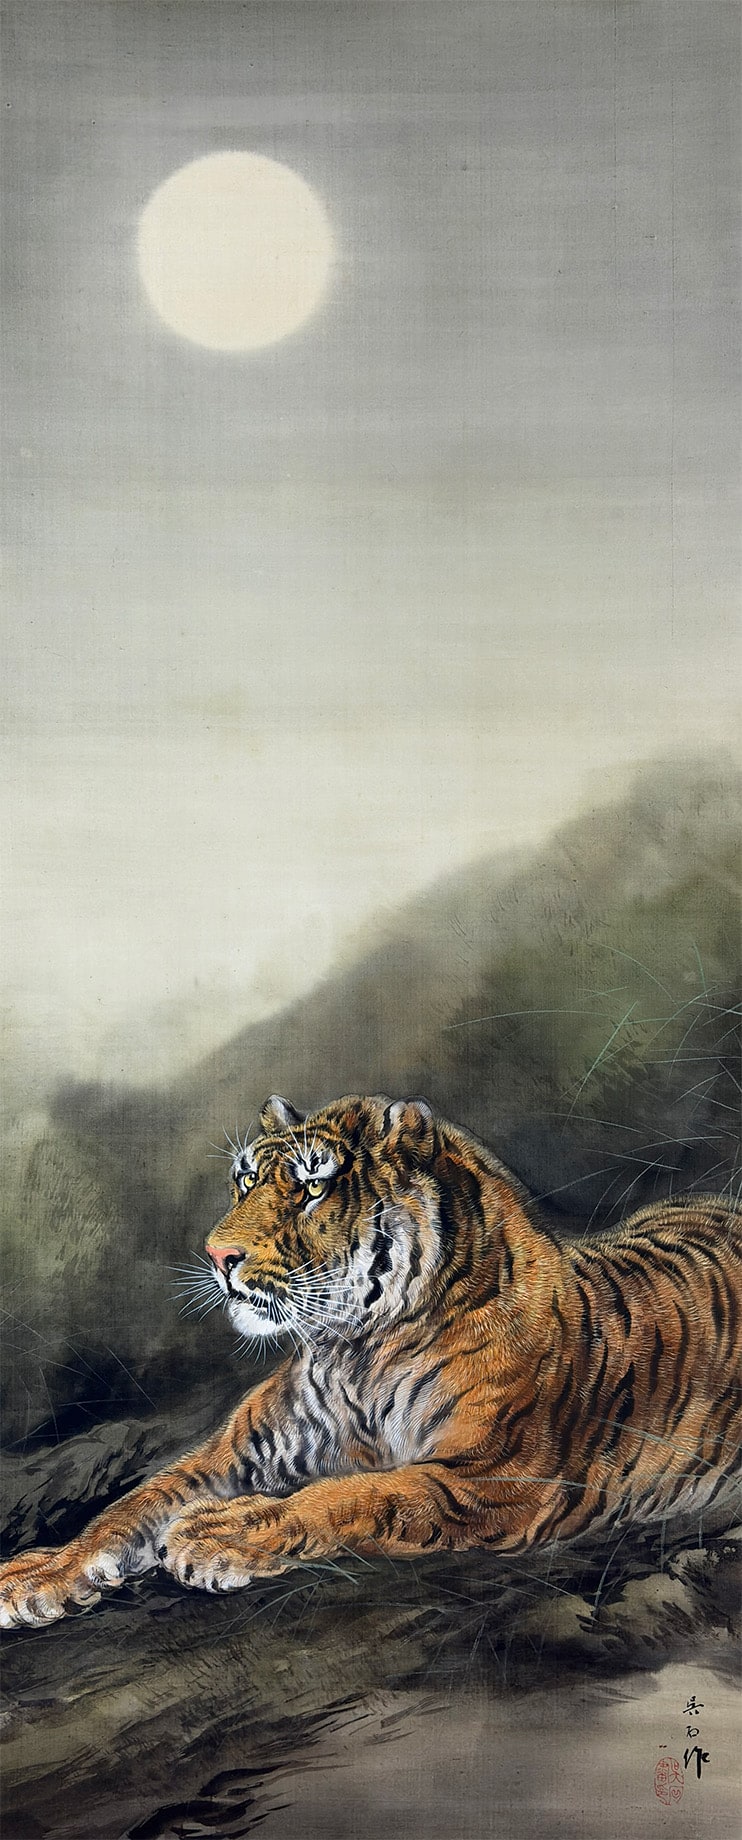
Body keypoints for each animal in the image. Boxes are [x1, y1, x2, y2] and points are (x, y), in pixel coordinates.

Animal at [1, 1093, 740, 1628]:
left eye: (311, 1189)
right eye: (246, 1181)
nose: (217, 1255)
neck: (354, 1352)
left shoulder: (497, 1479)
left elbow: (356, 1493)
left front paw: (220, 1531)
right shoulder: (234, 1455)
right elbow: (132, 1506)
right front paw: (35, 1575)